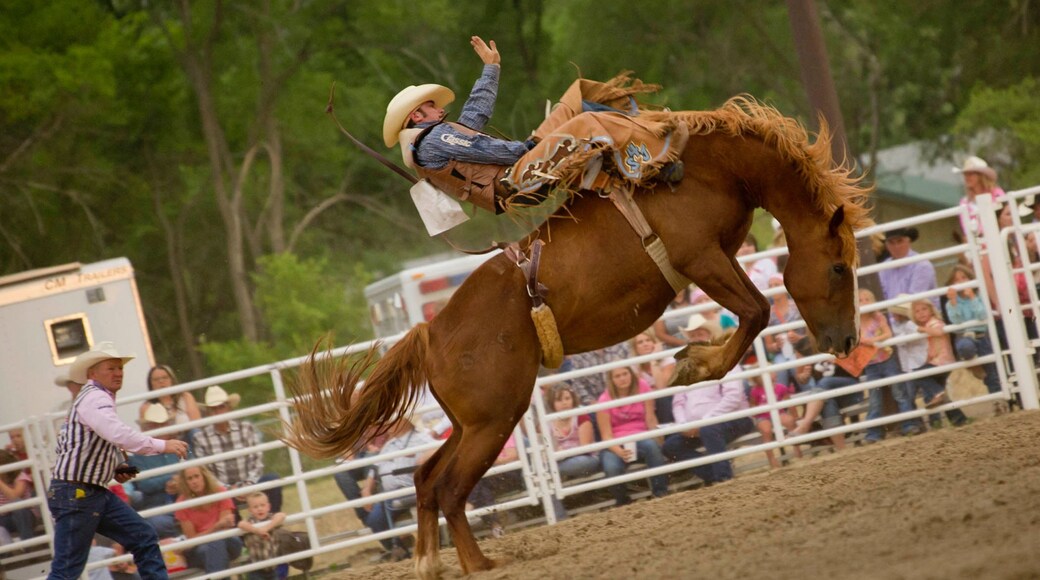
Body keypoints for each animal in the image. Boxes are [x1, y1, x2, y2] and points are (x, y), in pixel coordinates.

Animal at [283, 96, 873, 579]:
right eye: (839, 267)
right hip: (495, 419)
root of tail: (431, 329)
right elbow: (757, 311)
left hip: (471, 421)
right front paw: (692, 365)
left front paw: (693, 359)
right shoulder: (702, 258)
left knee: (426, 479)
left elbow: (754, 311)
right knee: (450, 488)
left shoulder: (720, 256)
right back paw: (479, 564)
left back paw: (430, 563)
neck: (711, 170)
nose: (847, 344)